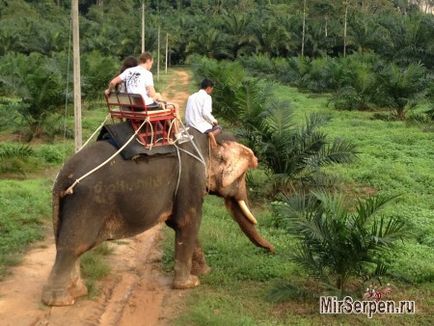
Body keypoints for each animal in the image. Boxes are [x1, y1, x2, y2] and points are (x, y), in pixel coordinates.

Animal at [39, 128, 272, 306]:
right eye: (242, 176)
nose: (273, 250)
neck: (205, 138)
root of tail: (63, 176)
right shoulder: (191, 178)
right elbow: (188, 222)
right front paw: (189, 284)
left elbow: (183, 224)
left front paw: (204, 272)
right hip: (86, 204)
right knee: (73, 247)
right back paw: (61, 301)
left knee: (67, 246)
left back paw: (78, 291)